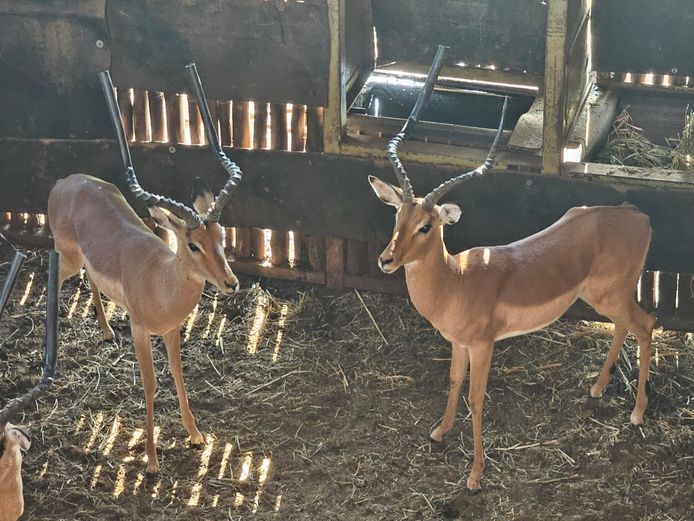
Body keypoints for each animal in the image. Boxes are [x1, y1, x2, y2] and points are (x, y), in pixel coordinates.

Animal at [47, 64, 242, 474]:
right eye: (193, 244)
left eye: (221, 235)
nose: (231, 283)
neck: (161, 281)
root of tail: (65, 181)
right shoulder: (140, 330)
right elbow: (151, 384)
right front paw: (151, 461)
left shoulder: (170, 329)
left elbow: (179, 373)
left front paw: (196, 435)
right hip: (66, 257)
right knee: (52, 276)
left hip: (85, 262)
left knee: (91, 282)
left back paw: (106, 332)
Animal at [368, 46, 655, 491]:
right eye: (397, 214)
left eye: (426, 225)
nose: (386, 260)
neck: (457, 280)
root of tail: (638, 214)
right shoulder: (458, 343)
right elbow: (454, 381)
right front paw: (440, 430)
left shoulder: (483, 345)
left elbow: (476, 398)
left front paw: (475, 473)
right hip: (605, 297)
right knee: (627, 326)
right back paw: (597, 387)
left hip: (611, 295)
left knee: (646, 324)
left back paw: (638, 412)